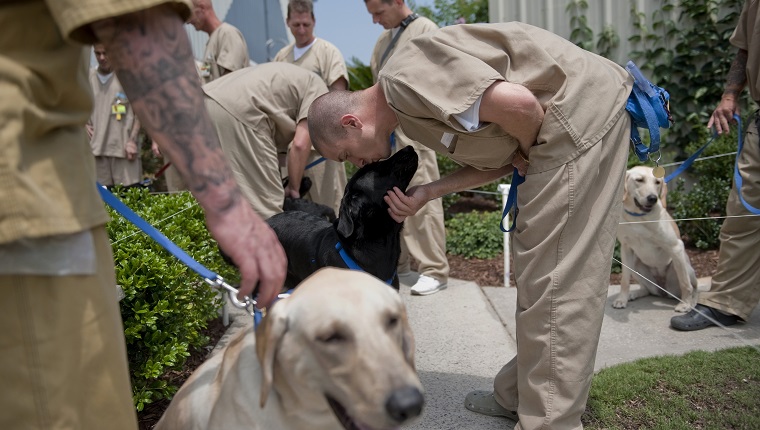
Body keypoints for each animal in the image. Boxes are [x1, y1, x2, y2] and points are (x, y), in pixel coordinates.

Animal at [616, 165, 696, 312]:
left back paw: (691, 302)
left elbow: (685, 283)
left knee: (694, 287)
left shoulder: (676, 248)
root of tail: (663, 291)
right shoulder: (626, 248)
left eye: (657, 182)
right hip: (635, 264)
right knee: (647, 290)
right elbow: (624, 280)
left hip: (682, 265)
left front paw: (685, 304)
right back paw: (634, 294)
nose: (652, 198)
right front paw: (622, 299)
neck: (638, 217)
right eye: (639, 180)